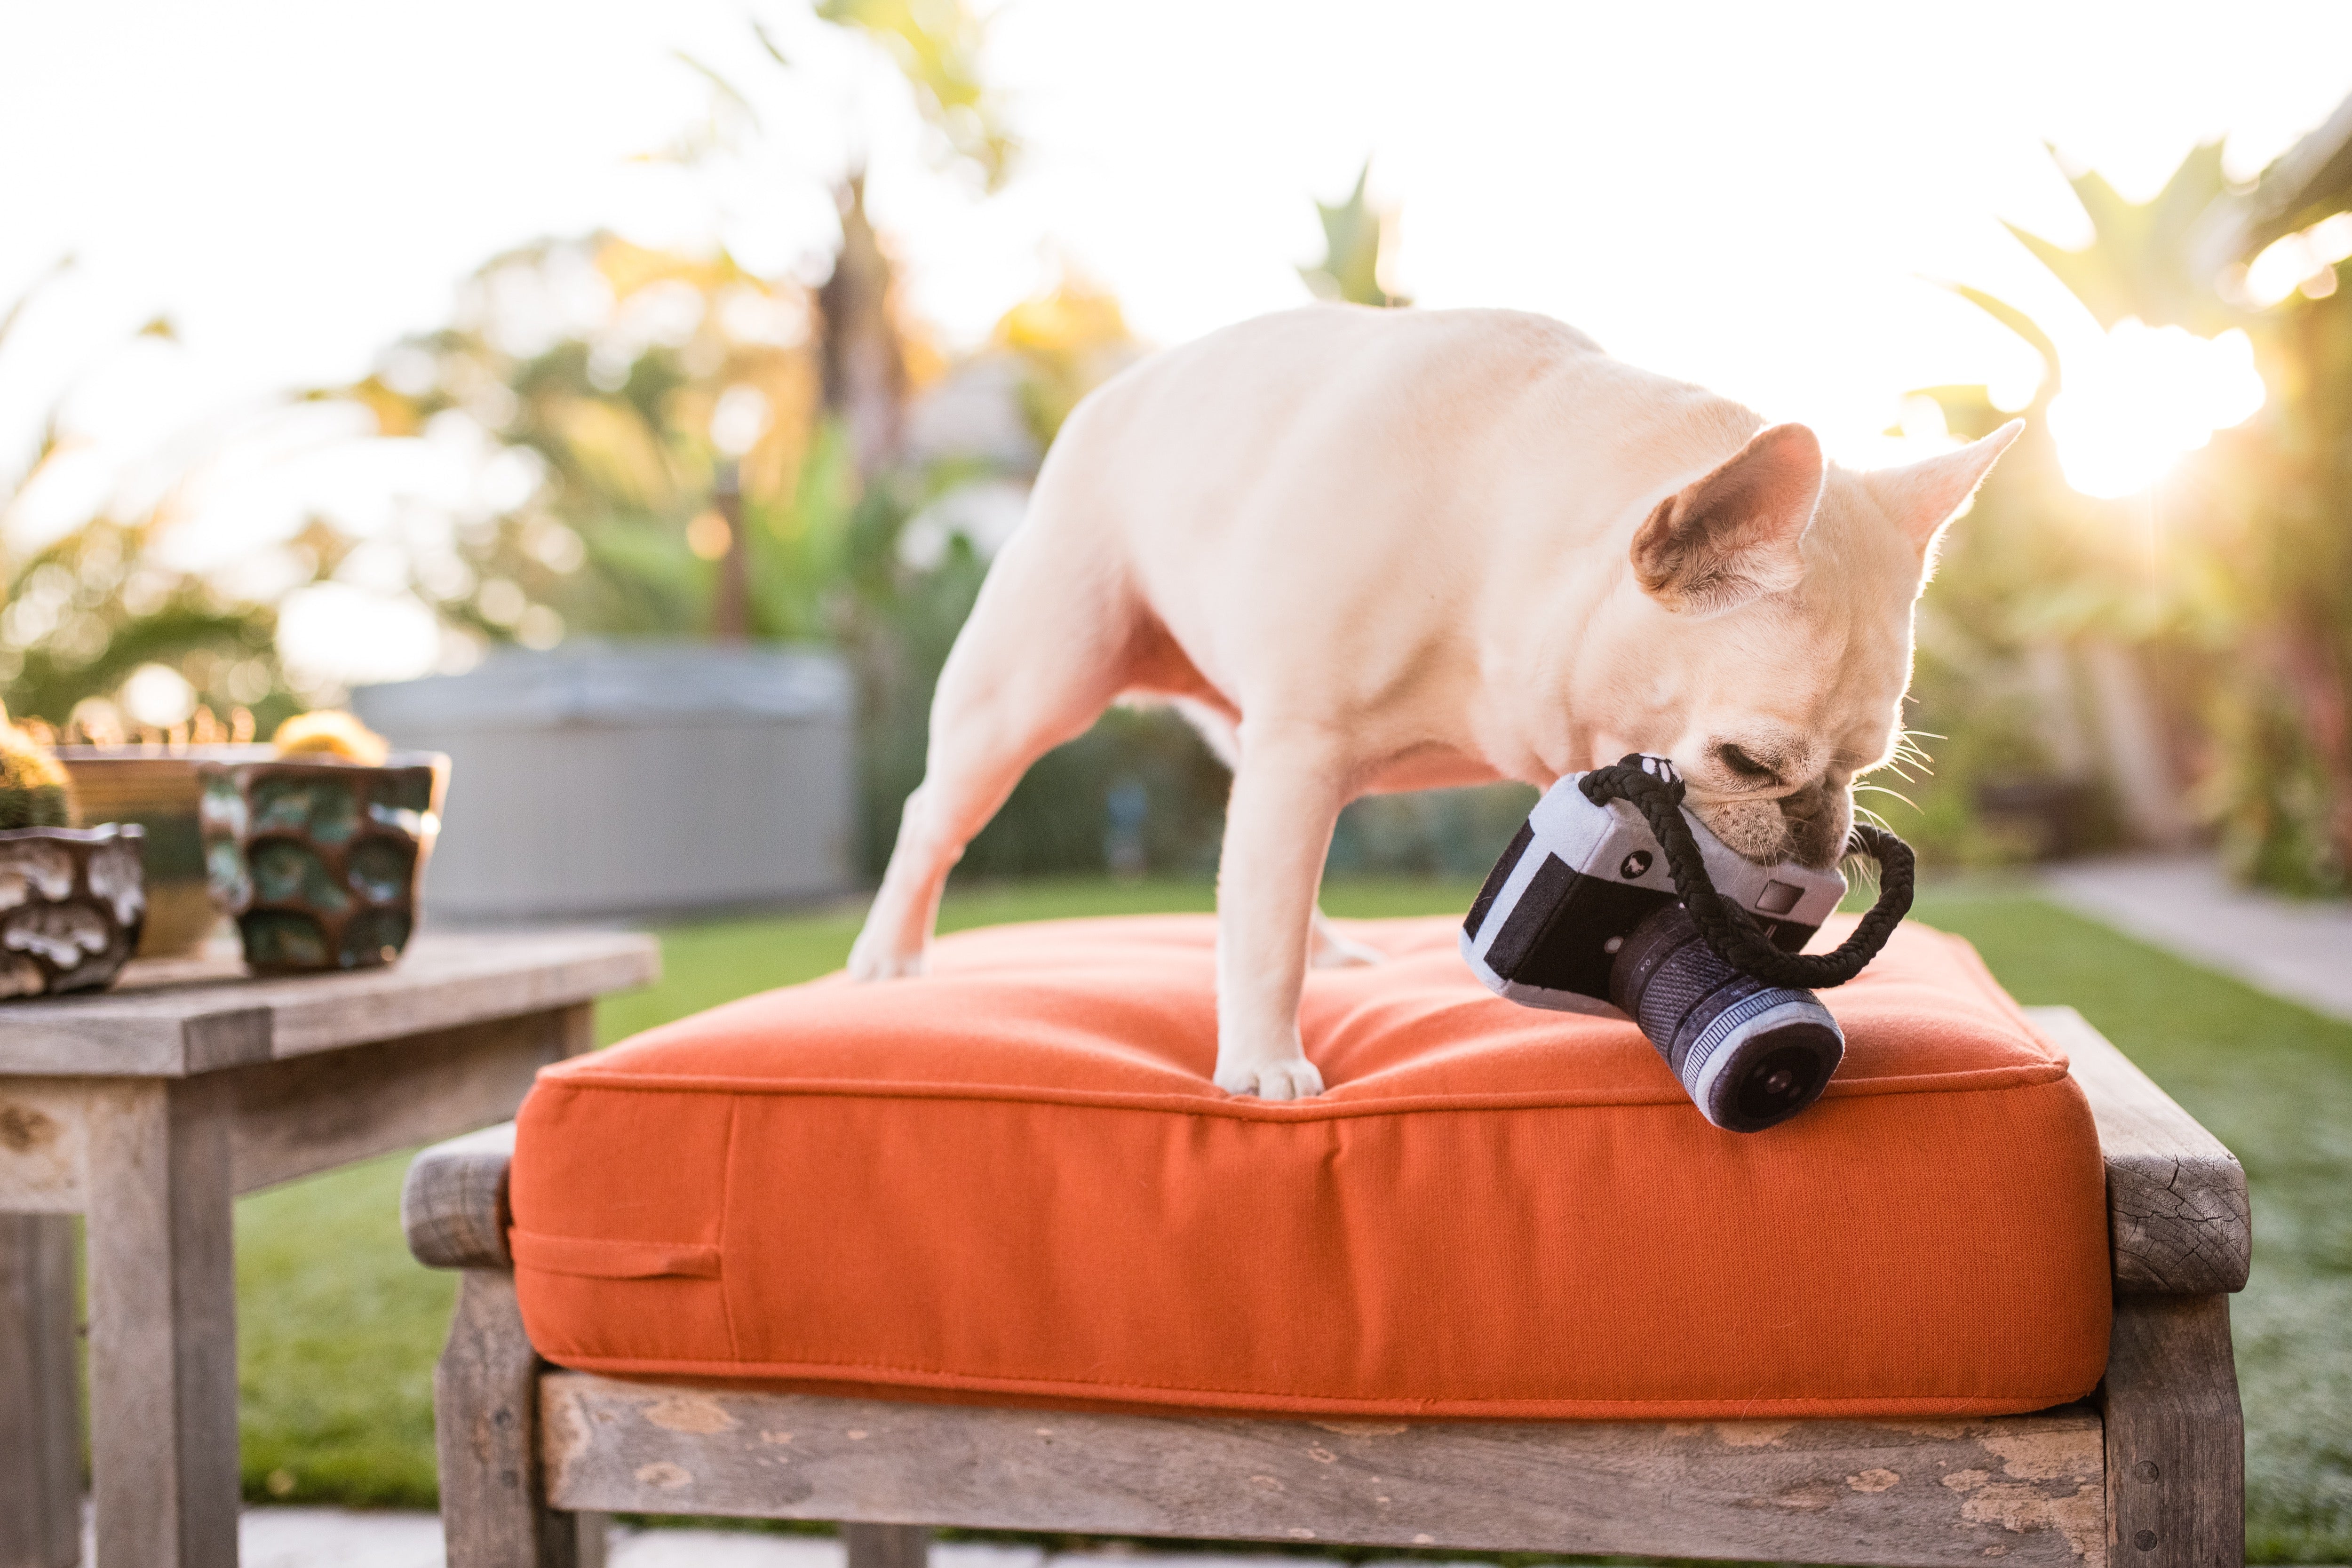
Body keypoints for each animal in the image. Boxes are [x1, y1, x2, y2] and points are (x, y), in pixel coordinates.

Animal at [847, 301, 2023, 1100]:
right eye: (1747, 763)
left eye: (1862, 769)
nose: (1817, 845)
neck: (1508, 547)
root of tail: (1109, 397)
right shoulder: (1303, 746)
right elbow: (1260, 927)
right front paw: (1264, 1063)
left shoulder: (1292, 756)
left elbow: (1263, 894)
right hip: (1034, 680)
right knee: (938, 814)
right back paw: (888, 957)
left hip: (1235, 728)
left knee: (1253, 859)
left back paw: (1328, 946)